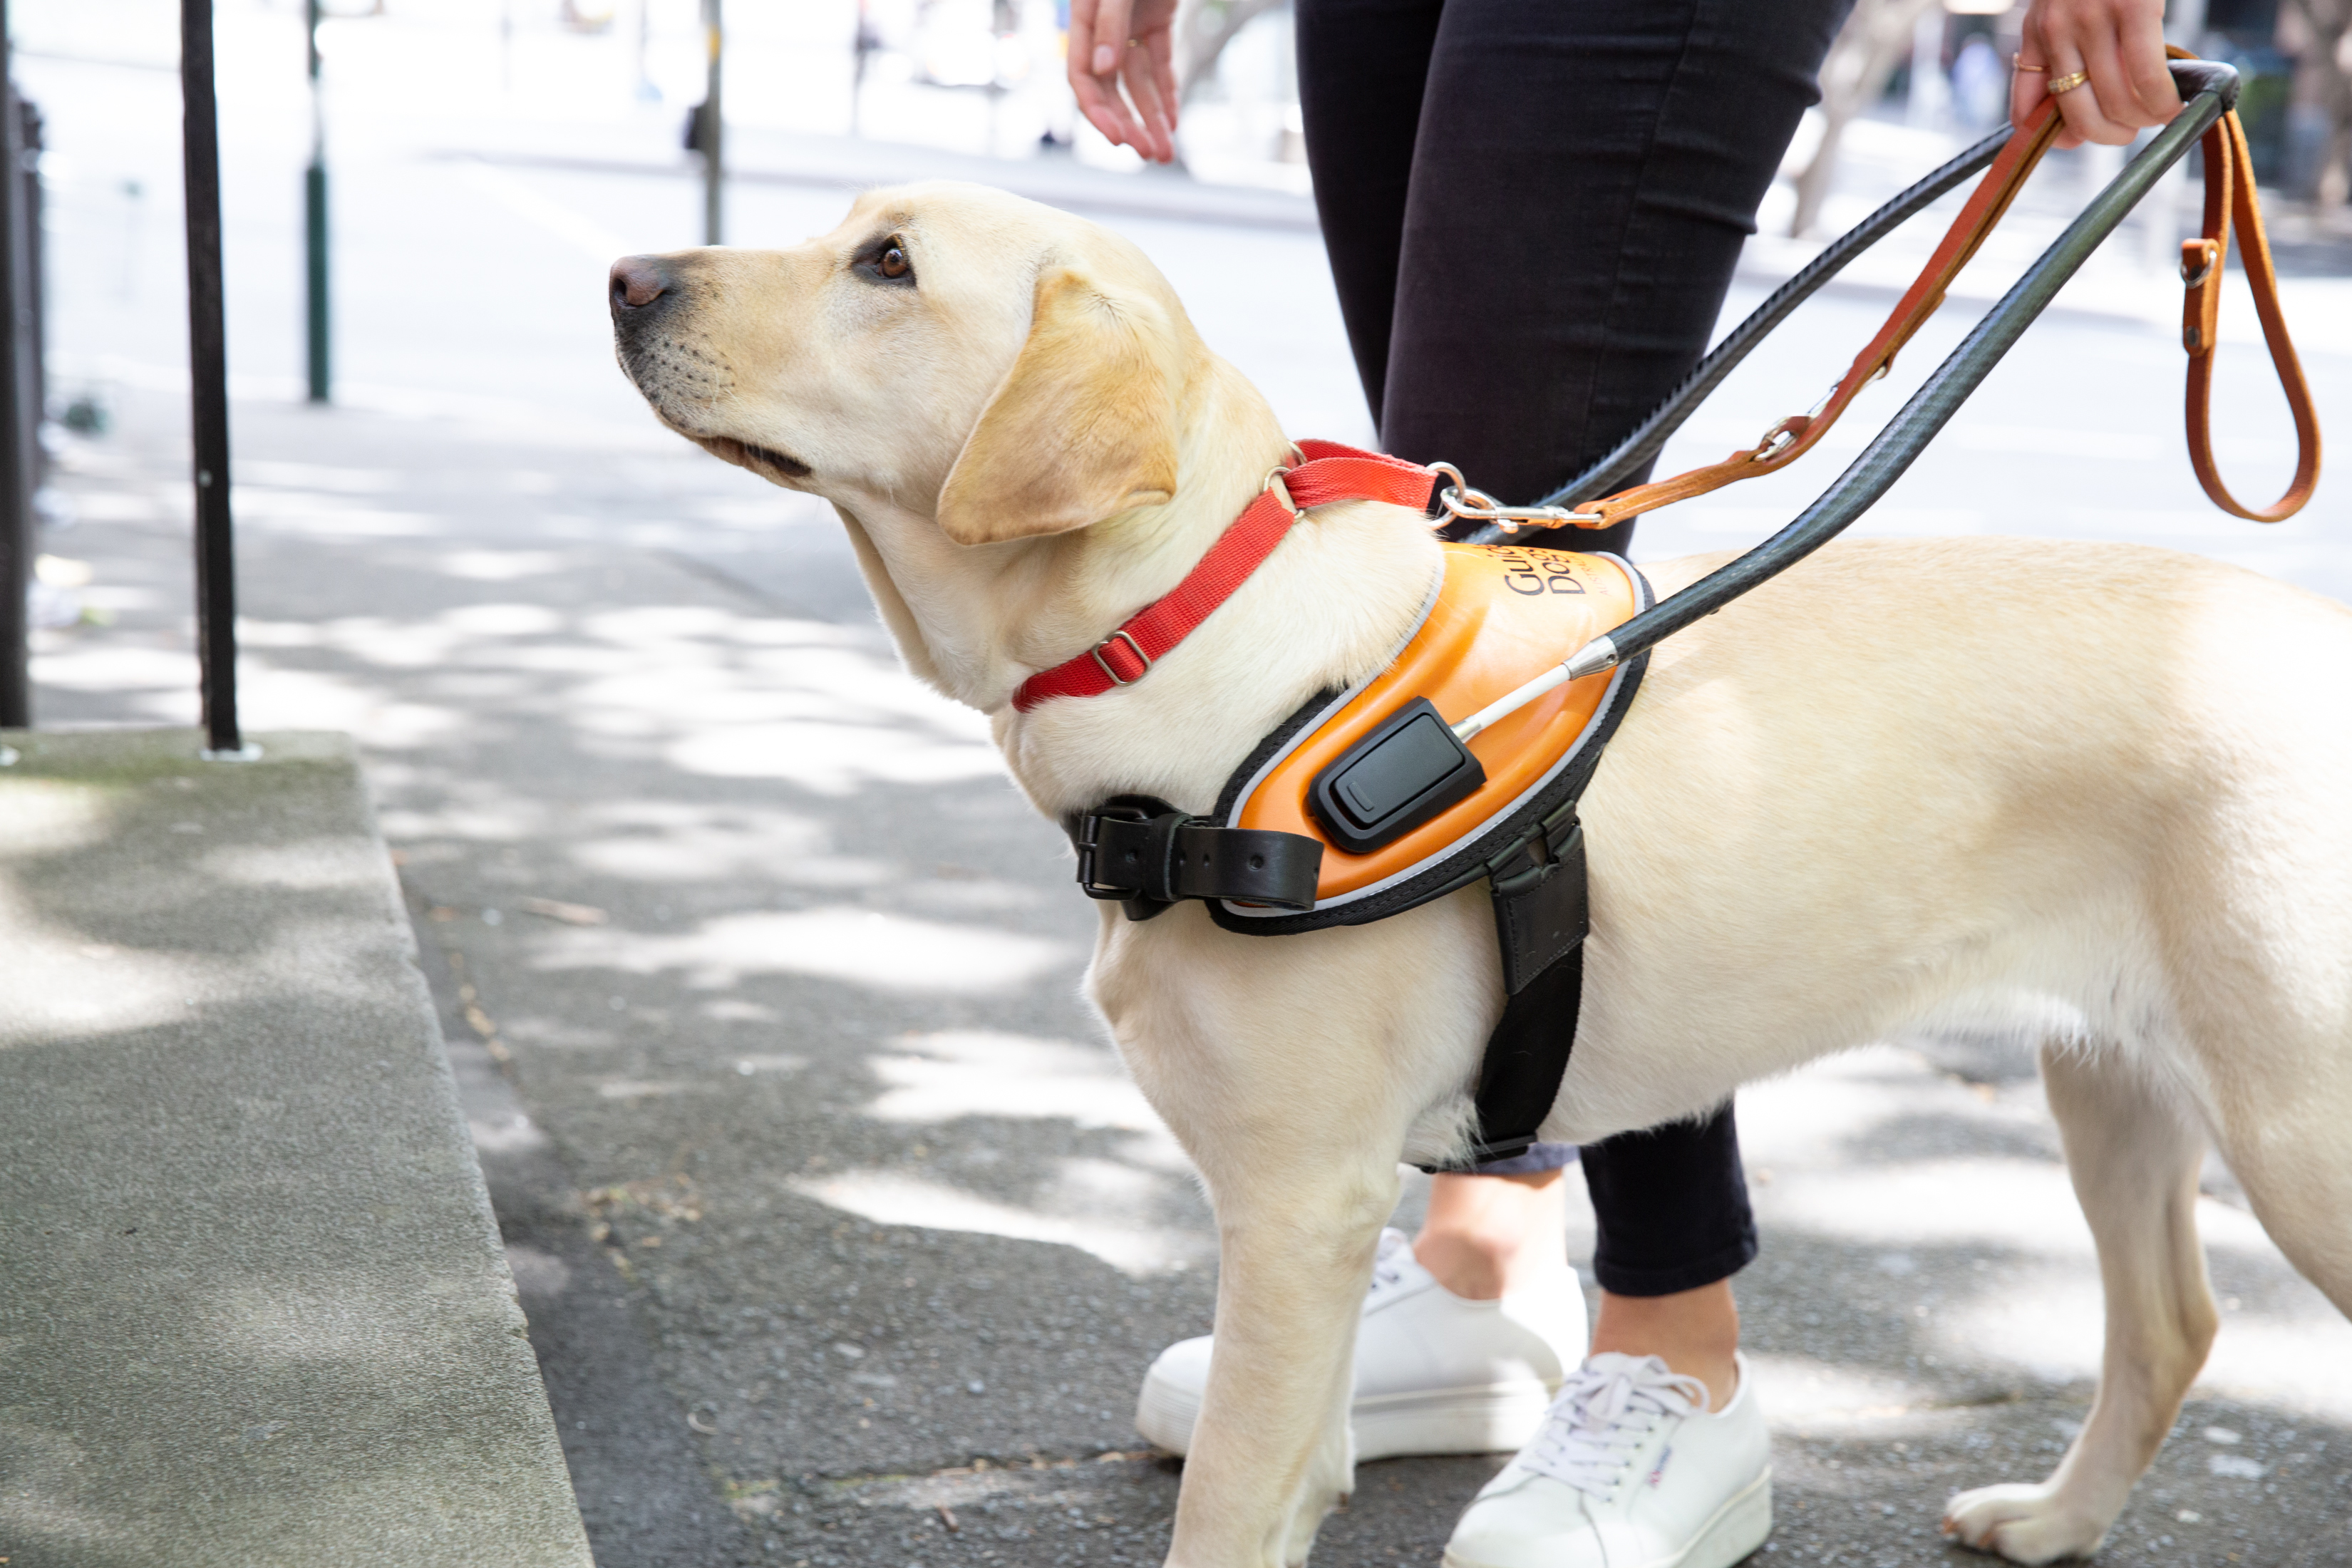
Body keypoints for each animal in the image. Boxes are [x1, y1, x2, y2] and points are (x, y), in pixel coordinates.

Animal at [612, 177, 2352, 1561]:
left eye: (887, 265)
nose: (628, 278)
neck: (1193, 631)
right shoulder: (1308, 1235)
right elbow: (1289, 1470)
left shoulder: (1296, 1202)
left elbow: (1226, 1504)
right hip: (2112, 1077)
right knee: (2172, 1327)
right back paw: (2055, 1521)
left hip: (2294, 1127)